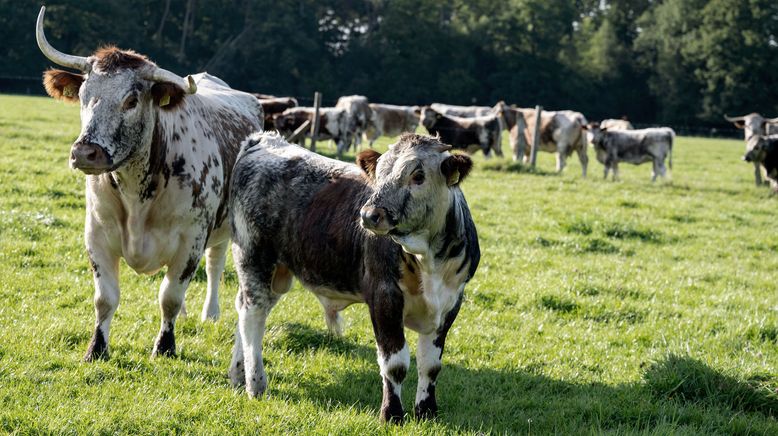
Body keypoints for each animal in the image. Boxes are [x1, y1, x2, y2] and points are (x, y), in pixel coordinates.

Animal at [34, 6, 264, 362]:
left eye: (131, 100)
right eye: (84, 95)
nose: (86, 152)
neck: (137, 194)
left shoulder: (190, 241)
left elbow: (170, 295)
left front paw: (165, 345)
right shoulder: (96, 235)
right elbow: (105, 299)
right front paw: (96, 348)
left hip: (226, 229)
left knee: (214, 266)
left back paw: (210, 313)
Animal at [226, 133, 478, 422]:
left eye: (418, 176)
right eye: (379, 174)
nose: (369, 215)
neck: (428, 259)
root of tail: (265, 139)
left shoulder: (451, 303)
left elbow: (430, 365)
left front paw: (426, 411)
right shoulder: (384, 297)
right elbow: (395, 364)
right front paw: (391, 414)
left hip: (275, 271)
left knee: (245, 311)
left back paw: (238, 374)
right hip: (253, 258)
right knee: (252, 315)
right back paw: (255, 383)